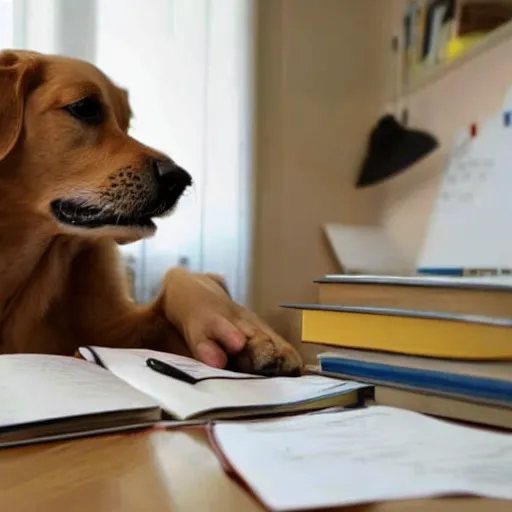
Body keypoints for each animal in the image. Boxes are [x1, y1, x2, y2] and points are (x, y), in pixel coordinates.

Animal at [0, 50, 302, 376]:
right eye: (84, 108)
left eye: (127, 124)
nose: (180, 180)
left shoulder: (115, 329)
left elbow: (179, 278)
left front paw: (254, 336)